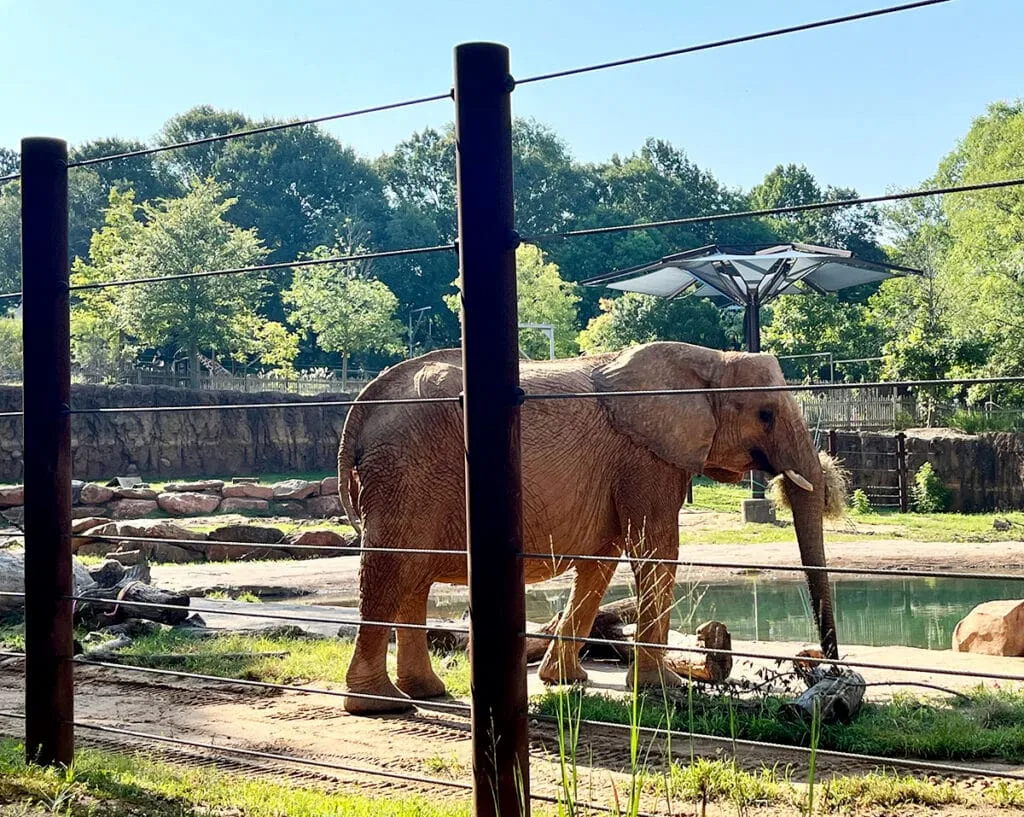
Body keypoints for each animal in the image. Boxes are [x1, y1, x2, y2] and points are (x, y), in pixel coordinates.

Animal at [337, 341, 837, 714]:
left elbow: (603, 559)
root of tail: (361, 408)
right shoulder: (645, 456)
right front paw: (663, 687)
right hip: (406, 471)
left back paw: (428, 692)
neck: (707, 358)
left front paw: (566, 681)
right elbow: (656, 549)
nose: (825, 667)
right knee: (391, 568)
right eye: (765, 414)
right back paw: (381, 705)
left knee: (414, 577)